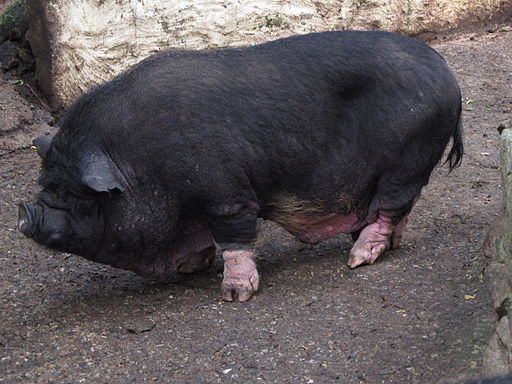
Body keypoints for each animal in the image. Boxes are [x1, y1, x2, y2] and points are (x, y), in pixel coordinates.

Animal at [18, 31, 462, 302]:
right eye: (46, 185)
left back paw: (357, 258)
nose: (25, 215)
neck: (139, 163)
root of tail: (449, 77)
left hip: (408, 158)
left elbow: (234, 237)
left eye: (76, 196)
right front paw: (187, 268)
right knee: (399, 210)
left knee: (389, 208)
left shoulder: (226, 192)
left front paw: (234, 295)